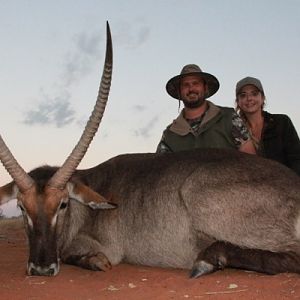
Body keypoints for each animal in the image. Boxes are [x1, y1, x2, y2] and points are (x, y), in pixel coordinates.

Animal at [0, 22, 300, 278]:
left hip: (198, 192)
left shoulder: (102, 246)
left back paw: (208, 259)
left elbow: (78, 254)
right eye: (21, 207)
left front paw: (94, 261)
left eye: (62, 204)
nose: (41, 269)